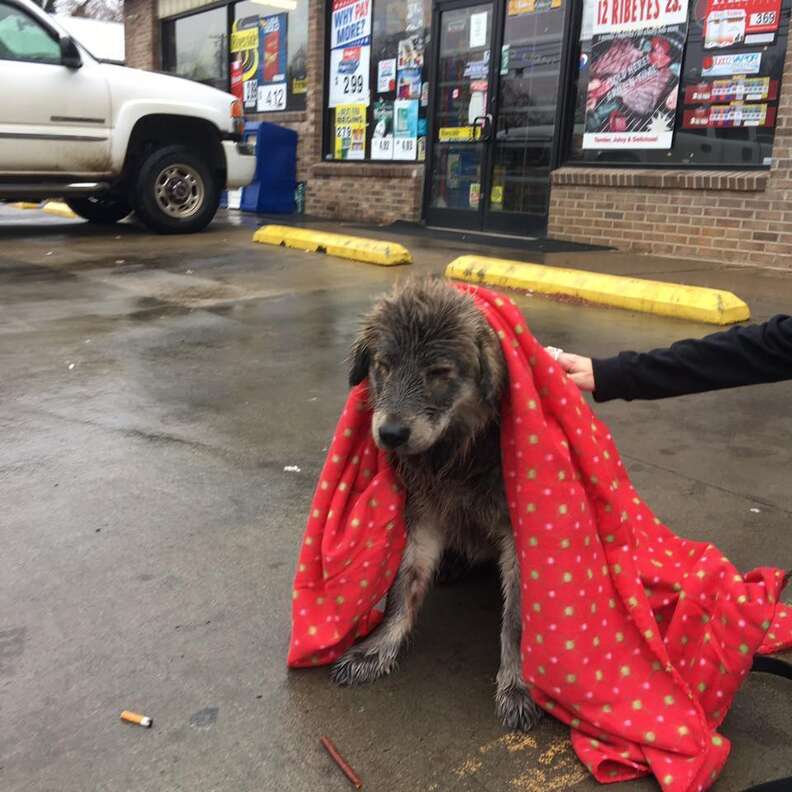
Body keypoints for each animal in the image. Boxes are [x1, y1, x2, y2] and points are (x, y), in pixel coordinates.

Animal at [330, 276, 544, 732]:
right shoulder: (424, 516)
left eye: (440, 374)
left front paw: (518, 684)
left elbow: (518, 620)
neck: (457, 457)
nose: (391, 433)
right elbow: (402, 591)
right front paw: (377, 649)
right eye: (384, 365)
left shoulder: (519, 533)